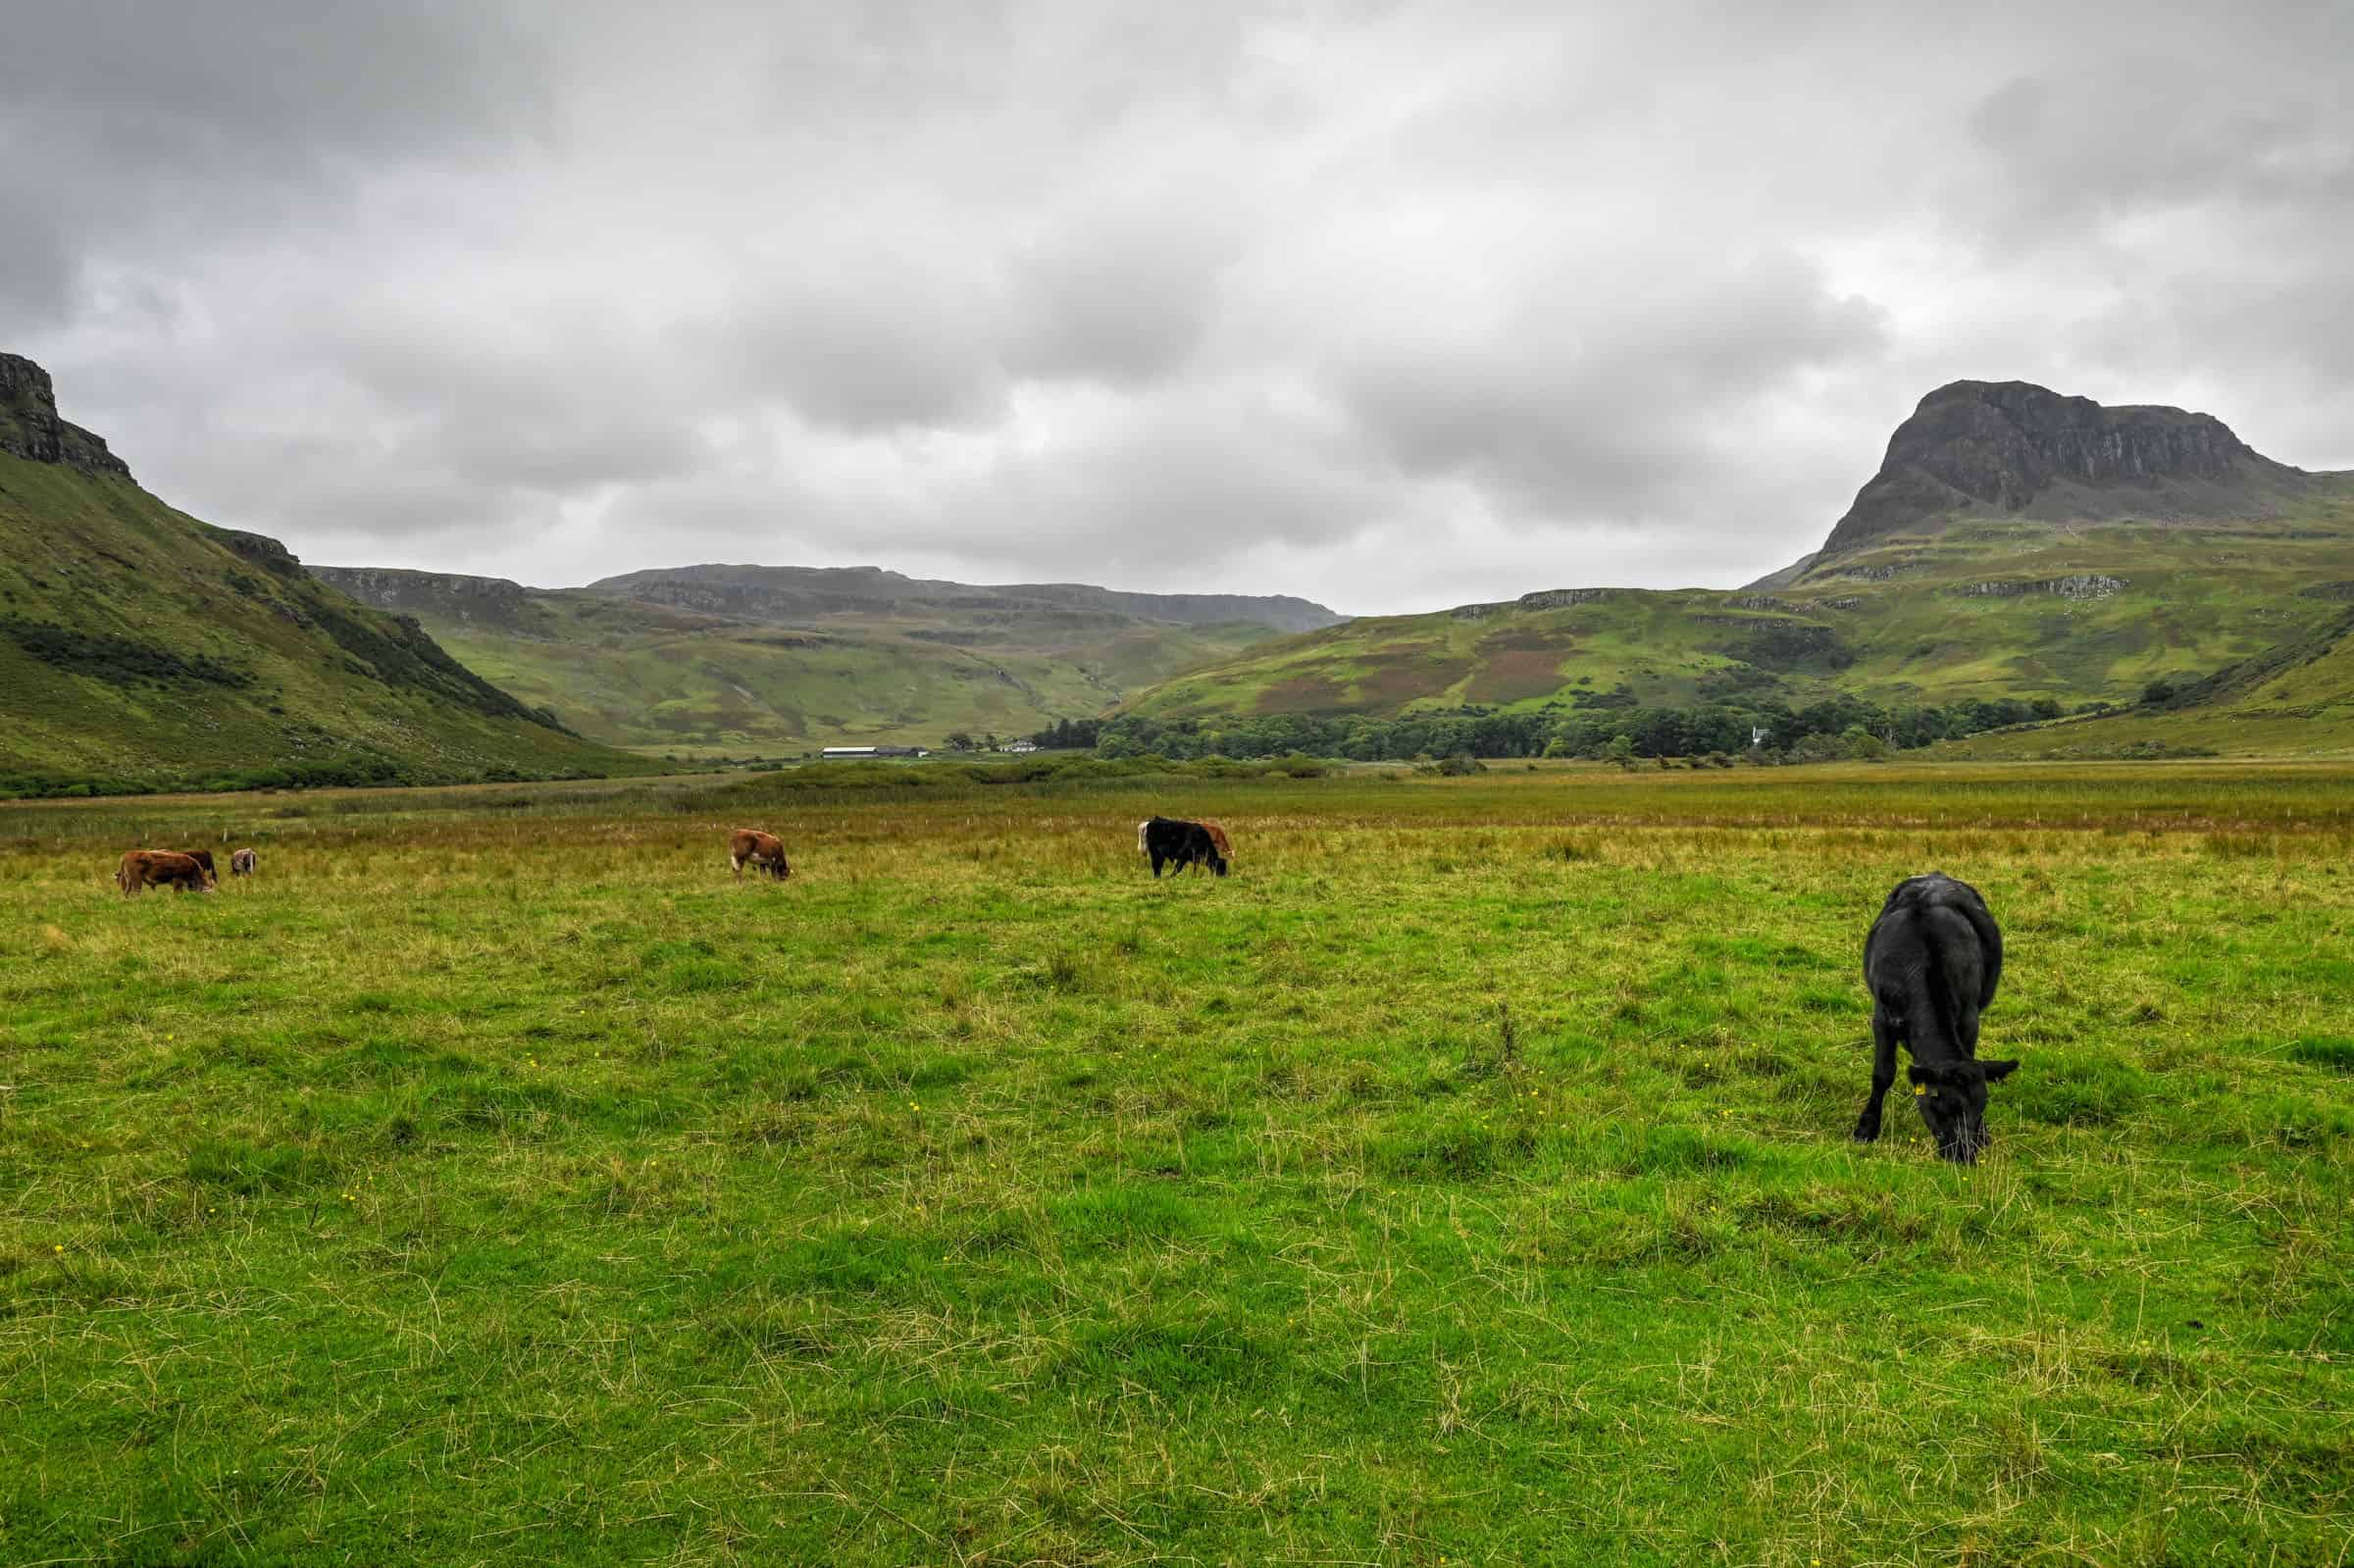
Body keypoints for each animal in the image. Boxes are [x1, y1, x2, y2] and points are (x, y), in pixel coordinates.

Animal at [1855, 866, 2024, 1158]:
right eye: (1943, 1104)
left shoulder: (1969, 1019)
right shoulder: (1882, 1018)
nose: (1965, 1154)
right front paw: (1867, 1128)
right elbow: (1883, 1074)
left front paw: (1984, 1135)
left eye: (1981, 1107)